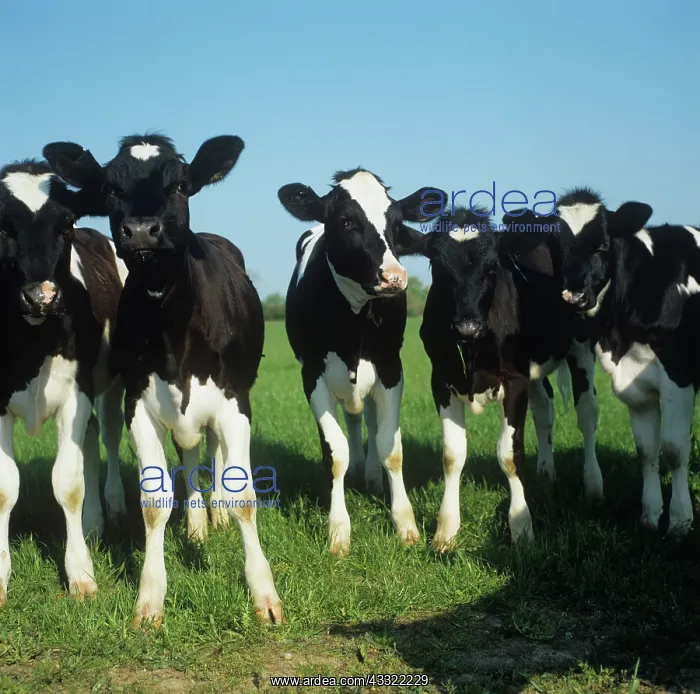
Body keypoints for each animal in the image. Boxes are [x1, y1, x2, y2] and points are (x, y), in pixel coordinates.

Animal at [0, 159, 128, 606]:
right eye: (2, 226)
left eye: (67, 224)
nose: (42, 296)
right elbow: (5, 488)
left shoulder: (77, 393)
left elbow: (68, 484)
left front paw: (80, 573)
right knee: (88, 438)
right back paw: (93, 524)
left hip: (110, 385)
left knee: (107, 435)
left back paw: (111, 508)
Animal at [42, 133, 283, 627]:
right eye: (111, 189)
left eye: (181, 185)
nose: (141, 231)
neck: (173, 330)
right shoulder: (139, 404)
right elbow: (154, 503)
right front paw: (150, 598)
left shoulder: (235, 403)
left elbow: (244, 494)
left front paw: (263, 593)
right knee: (189, 454)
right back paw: (196, 526)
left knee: (215, 453)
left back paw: (214, 515)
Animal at [277, 169, 445, 555]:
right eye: (346, 222)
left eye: (396, 224)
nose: (394, 277)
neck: (354, 322)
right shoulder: (312, 376)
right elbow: (335, 452)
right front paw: (338, 530)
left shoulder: (391, 369)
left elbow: (390, 447)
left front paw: (405, 523)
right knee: (352, 422)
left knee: (365, 417)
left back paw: (369, 476)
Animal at [397, 206, 606, 547]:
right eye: (437, 267)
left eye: (492, 267)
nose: (467, 327)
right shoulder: (441, 379)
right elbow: (452, 454)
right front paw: (446, 529)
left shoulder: (514, 379)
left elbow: (510, 454)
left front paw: (521, 528)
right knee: (545, 409)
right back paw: (546, 474)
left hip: (581, 345)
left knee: (587, 413)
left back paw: (593, 486)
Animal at [538, 188, 697, 534]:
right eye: (555, 247)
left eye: (602, 245)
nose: (574, 296)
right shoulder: (634, 384)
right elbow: (646, 449)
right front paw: (650, 515)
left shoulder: (678, 377)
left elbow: (674, 449)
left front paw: (680, 520)